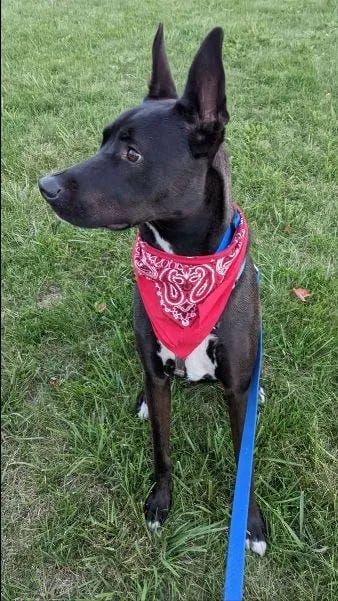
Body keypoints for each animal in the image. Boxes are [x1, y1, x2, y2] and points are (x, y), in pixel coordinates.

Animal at [37, 25, 266, 556]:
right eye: (102, 141)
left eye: (133, 153)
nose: (45, 186)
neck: (184, 272)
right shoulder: (160, 380)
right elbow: (162, 449)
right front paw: (160, 502)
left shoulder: (236, 391)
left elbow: (244, 459)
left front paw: (251, 523)